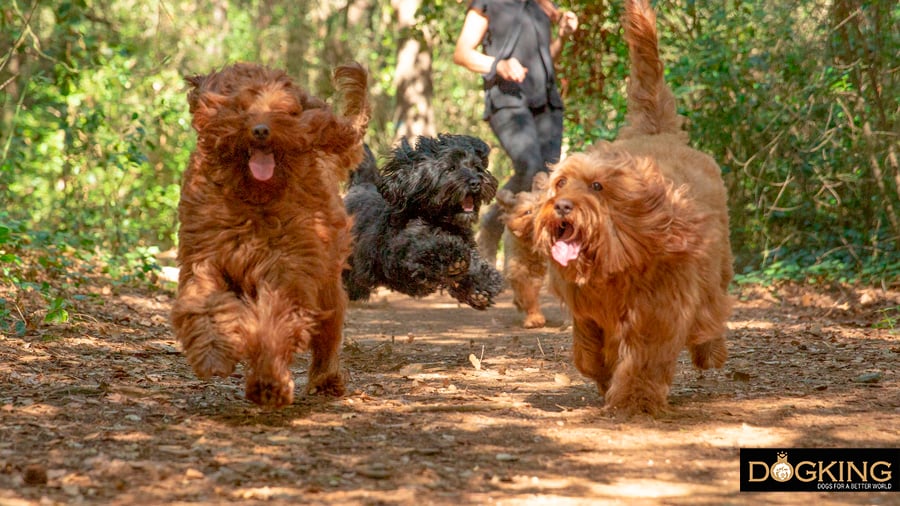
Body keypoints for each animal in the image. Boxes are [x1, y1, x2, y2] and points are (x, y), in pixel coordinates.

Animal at [342, 134, 502, 308]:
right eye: (450, 169)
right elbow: (428, 245)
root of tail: (361, 185)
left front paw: (480, 286)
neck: (440, 220)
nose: (476, 182)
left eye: (476, 167)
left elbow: (473, 261)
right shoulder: (398, 253)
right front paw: (453, 256)